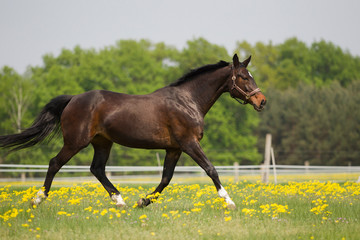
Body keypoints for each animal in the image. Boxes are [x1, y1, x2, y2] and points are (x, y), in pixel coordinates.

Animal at [0, 54, 264, 208]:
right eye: (243, 77)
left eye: (250, 75)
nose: (262, 101)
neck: (187, 101)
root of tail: (73, 99)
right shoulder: (189, 143)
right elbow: (211, 170)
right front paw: (229, 201)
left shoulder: (174, 149)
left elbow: (165, 179)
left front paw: (142, 201)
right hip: (76, 142)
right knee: (55, 163)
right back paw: (37, 199)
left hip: (102, 142)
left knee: (97, 169)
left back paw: (120, 201)